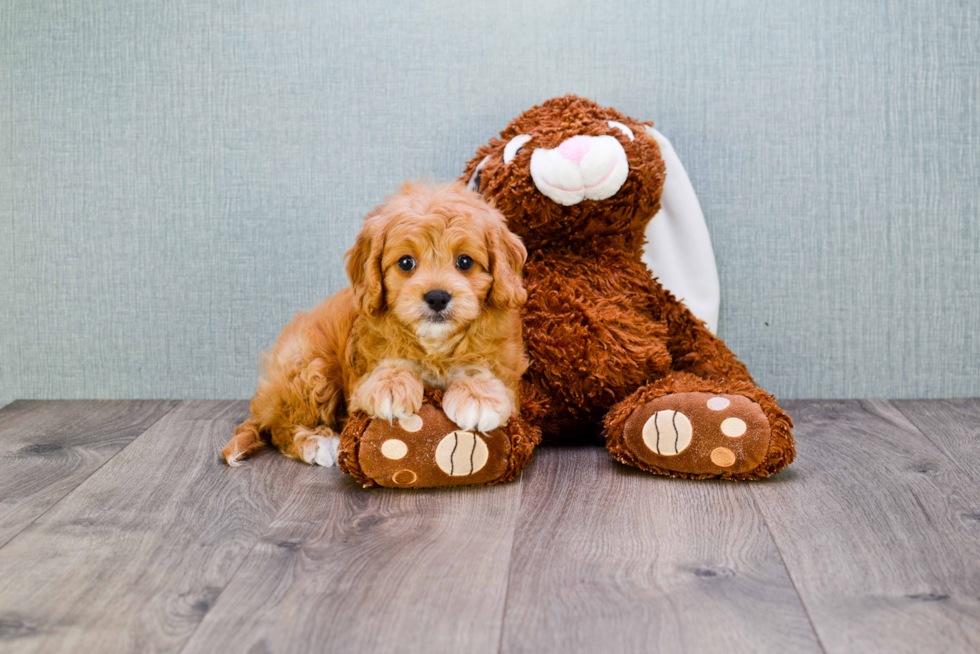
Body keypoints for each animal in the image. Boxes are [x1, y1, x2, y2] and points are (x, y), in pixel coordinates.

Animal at [222, 182, 528, 468]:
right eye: (406, 262)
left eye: (464, 261)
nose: (437, 297)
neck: (434, 343)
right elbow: (389, 360)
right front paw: (391, 385)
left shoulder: (503, 355)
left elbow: (482, 362)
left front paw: (477, 396)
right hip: (307, 368)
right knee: (280, 428)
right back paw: (317, 442)